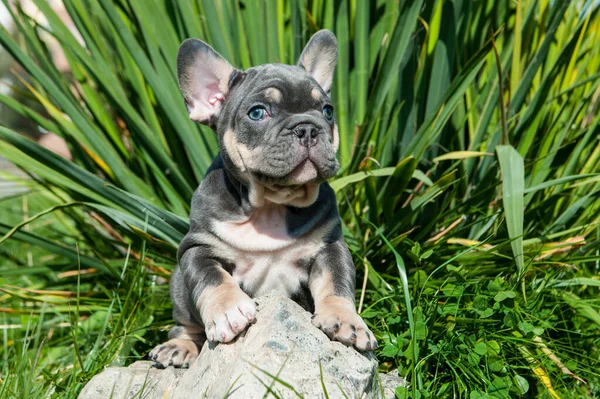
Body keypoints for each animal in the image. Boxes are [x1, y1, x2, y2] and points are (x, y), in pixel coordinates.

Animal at [148, 29, 378, 370]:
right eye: (258, 112)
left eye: (327, 111)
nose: (307, 128)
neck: (271, 205)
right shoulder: (197, 249)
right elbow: (213, 279)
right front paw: (228, 310)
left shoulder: (329, 247)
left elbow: (336, 283)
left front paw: (347, 320)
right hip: (178, 286)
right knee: (186, 322)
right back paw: (179, 347)